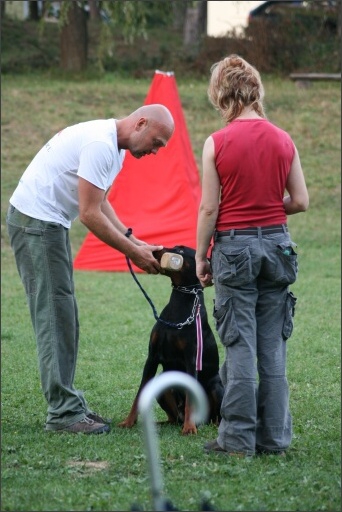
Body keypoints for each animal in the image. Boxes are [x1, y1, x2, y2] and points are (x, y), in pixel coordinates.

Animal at [118, 246, 224, 434]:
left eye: (180, 250)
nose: (155, 250)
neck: (179, 304)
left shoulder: (191, 360)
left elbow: (190, 399)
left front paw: (189, 428)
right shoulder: (152, 358)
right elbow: (139, 394)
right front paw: (128, 422)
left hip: (217, 388)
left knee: (215, 416)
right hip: (163, 383)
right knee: (173, 418)